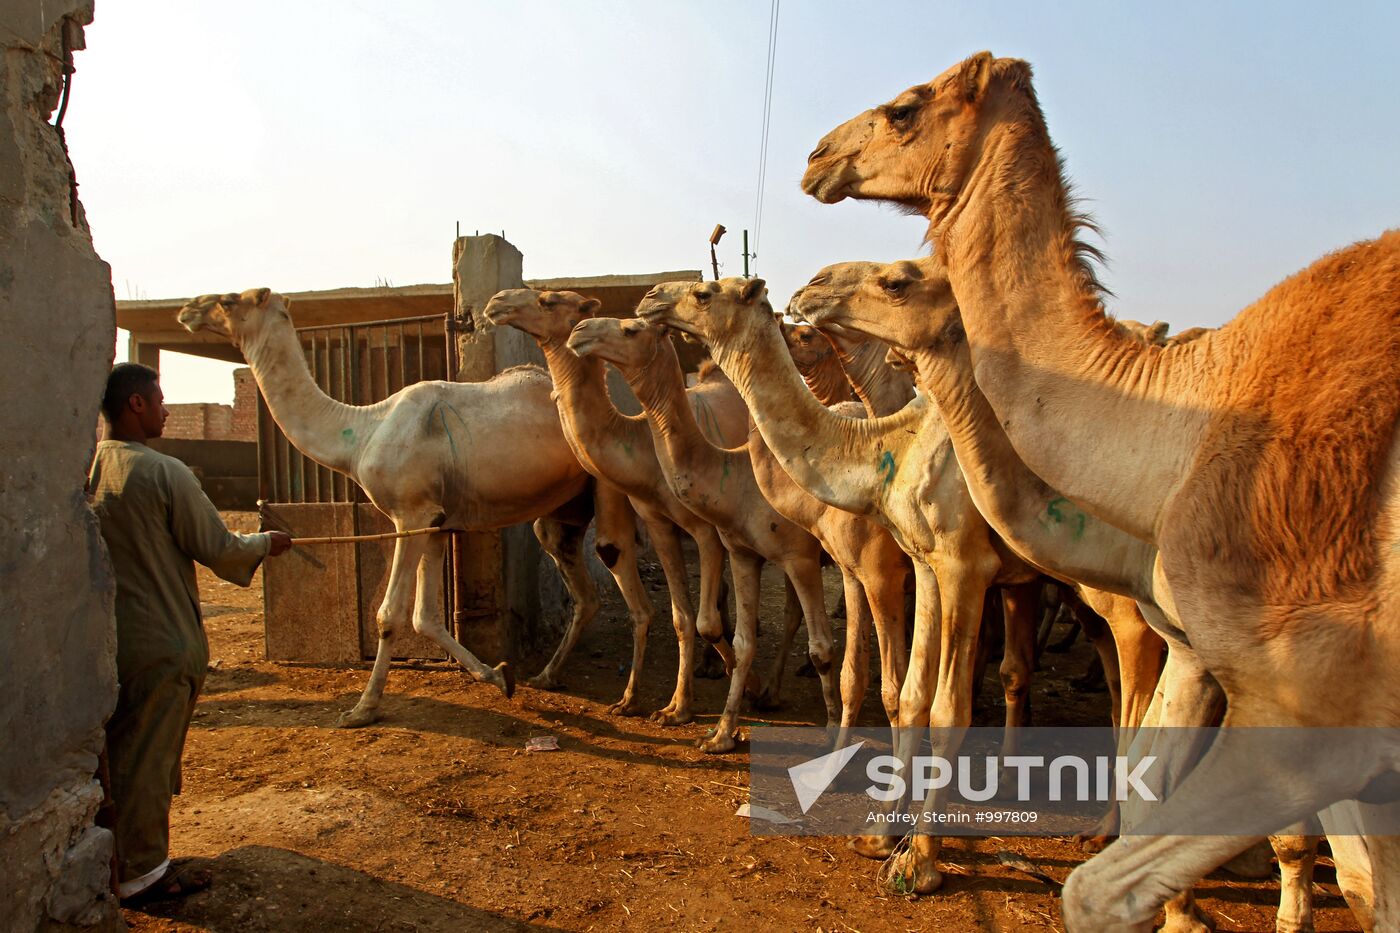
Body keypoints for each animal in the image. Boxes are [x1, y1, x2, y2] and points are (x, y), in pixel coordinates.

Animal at [175, 287, 649, 722]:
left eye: (228, 299)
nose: (187, 309)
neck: (362, 432)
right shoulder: (437, 521)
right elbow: (426, 616)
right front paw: (499, 676)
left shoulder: (410, 513)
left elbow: (390, 614)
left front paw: (363, 708)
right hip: (564, 507)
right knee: (578, 582)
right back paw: (547, 676)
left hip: (607, 485)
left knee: (616, 559)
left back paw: (628, 698)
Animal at [481, 287, 750, 722]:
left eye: (548, 300)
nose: (497, 301)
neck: (642, 441)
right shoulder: (656, 522)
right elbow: (679, 616)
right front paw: (665, 704)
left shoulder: (703, 528)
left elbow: (699, 619)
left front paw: (732, 681)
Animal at [562, 316, 845, 750]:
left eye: (630, 329)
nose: (579, 331)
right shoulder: (743, 550)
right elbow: (733, 637)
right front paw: (714, 730)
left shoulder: (792, 555)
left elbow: (815, 644)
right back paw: (772, 691)